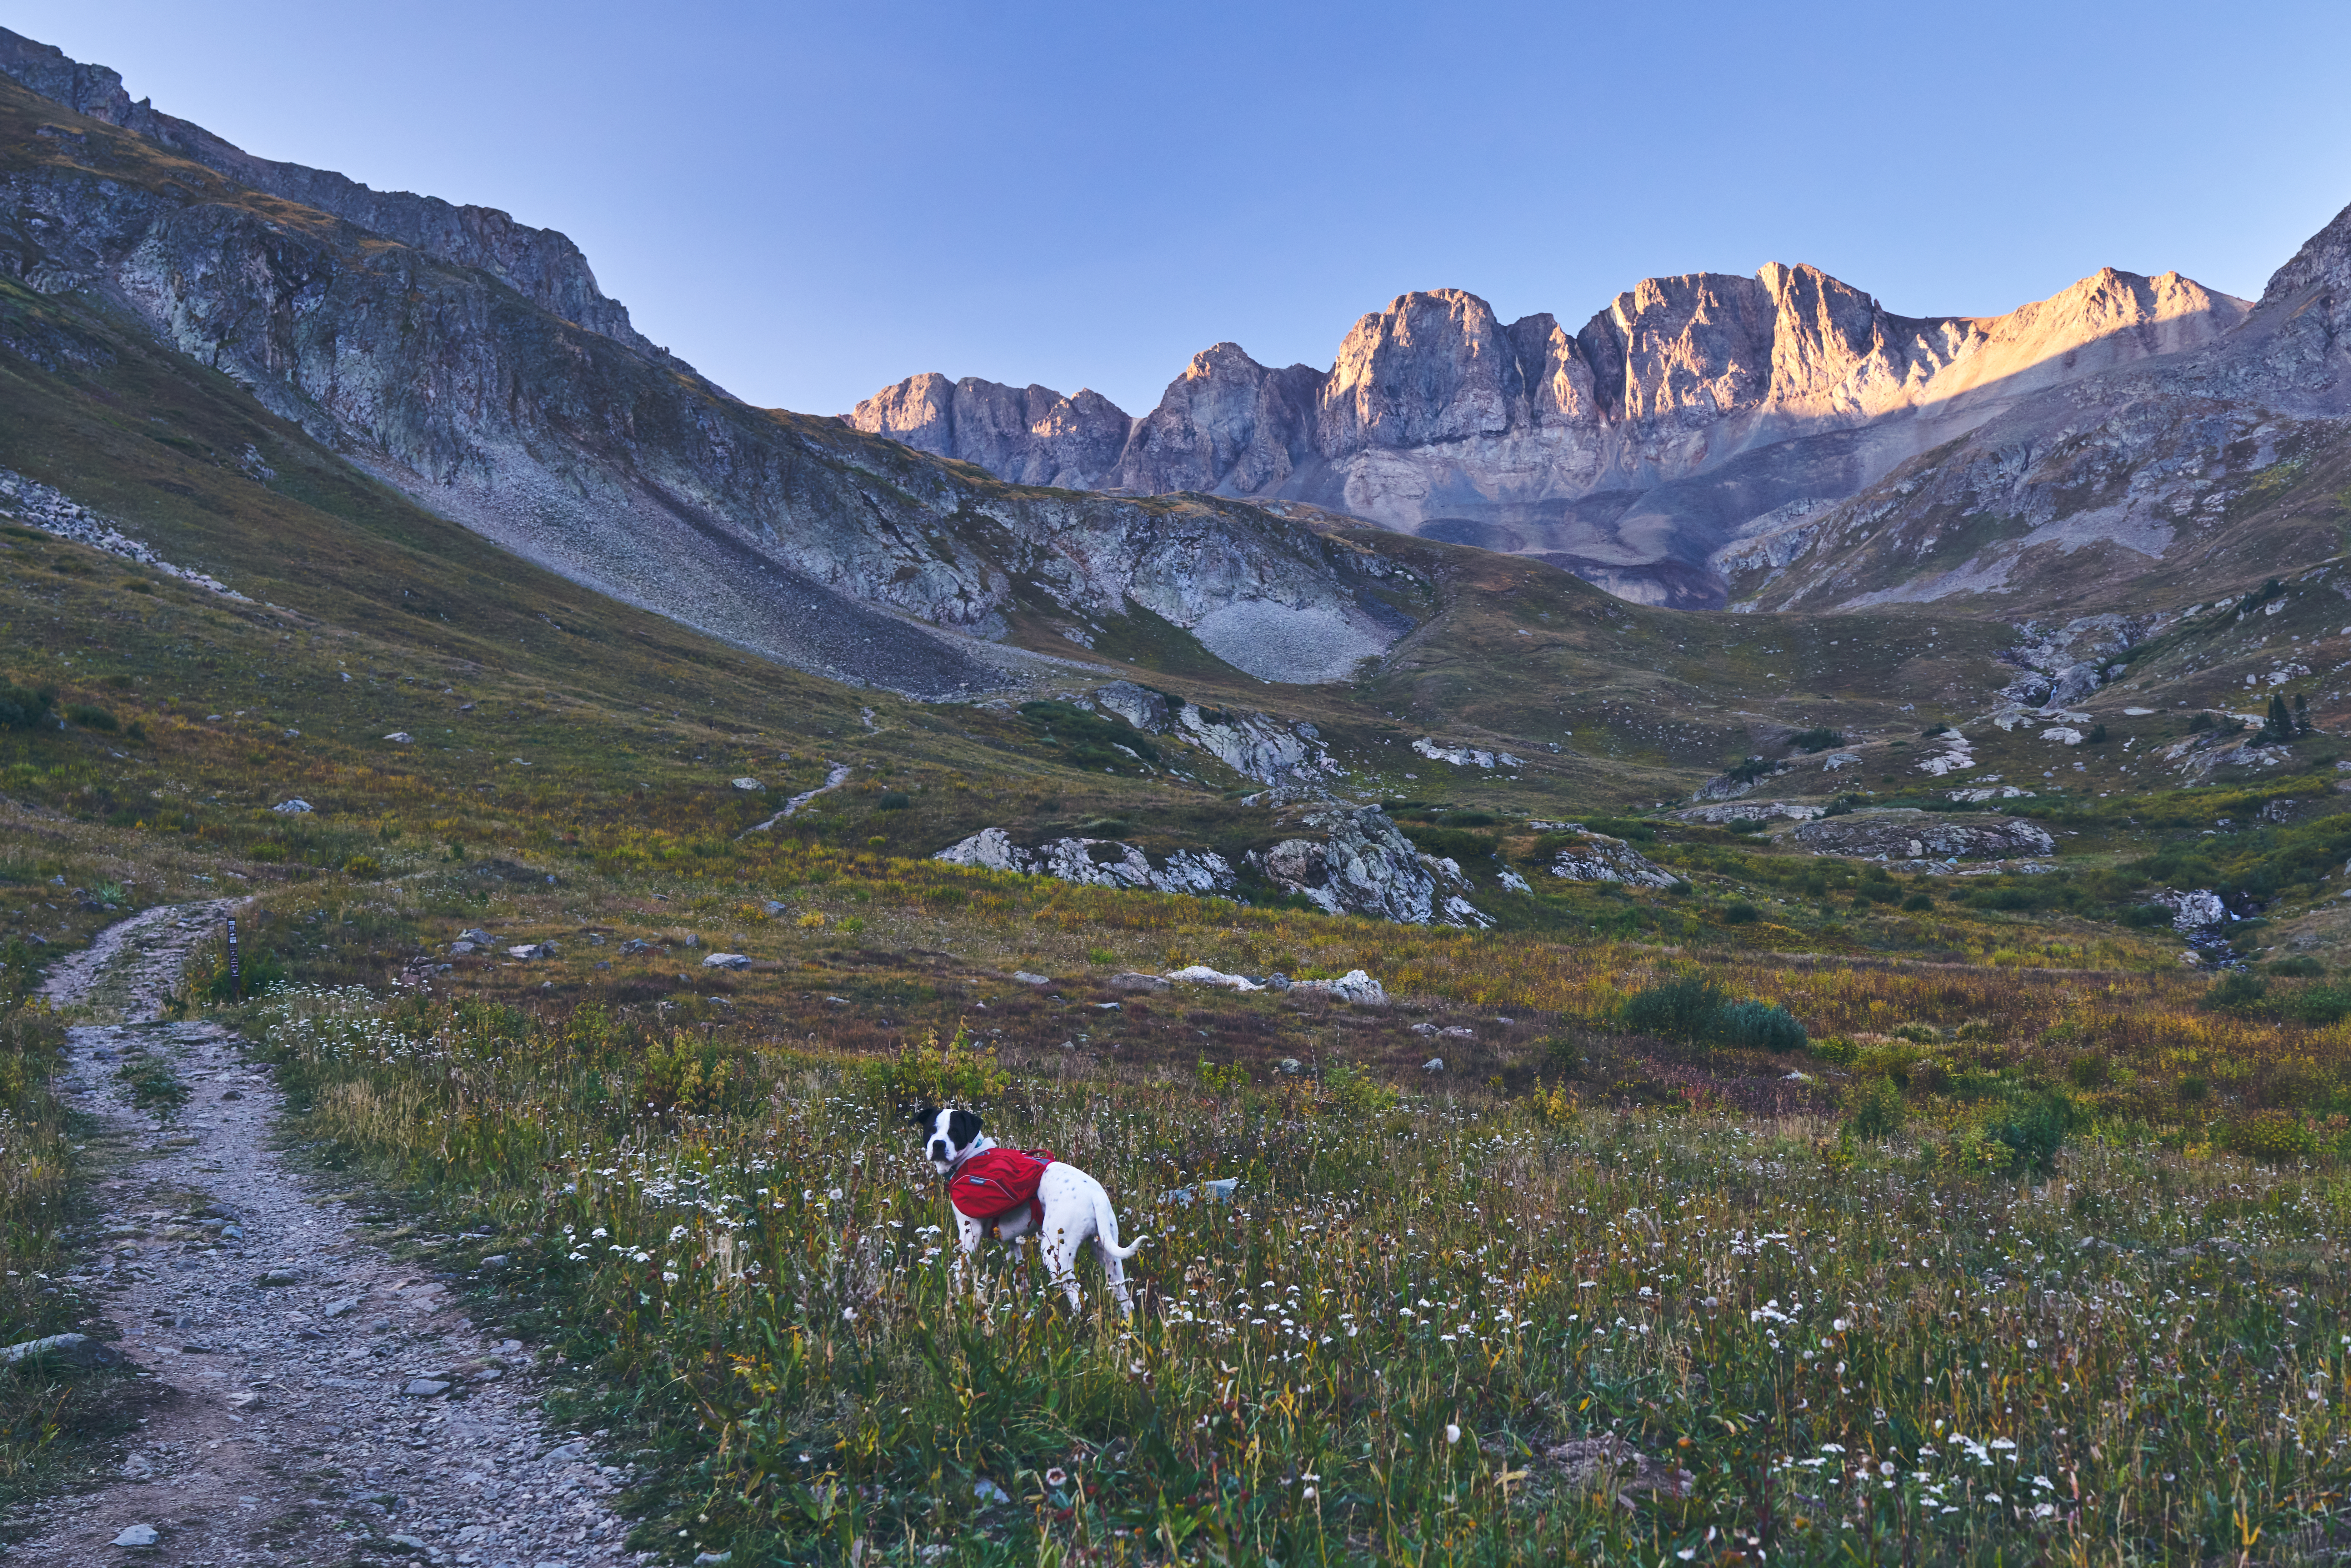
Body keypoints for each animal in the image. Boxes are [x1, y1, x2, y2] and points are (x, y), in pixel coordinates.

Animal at [912, 1109, 1142, 1316]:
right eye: (931, 1130)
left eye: (955, 1132)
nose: (938, 1144)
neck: (972, 1157)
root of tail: (1095, 1195)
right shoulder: (1009, 1243)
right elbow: (1019, 1281)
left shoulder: (970, 1234)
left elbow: (961, 1273)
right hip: (1108, 1256)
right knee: (1124, 1297)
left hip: (1056, 1256)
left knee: (1078, 1294)